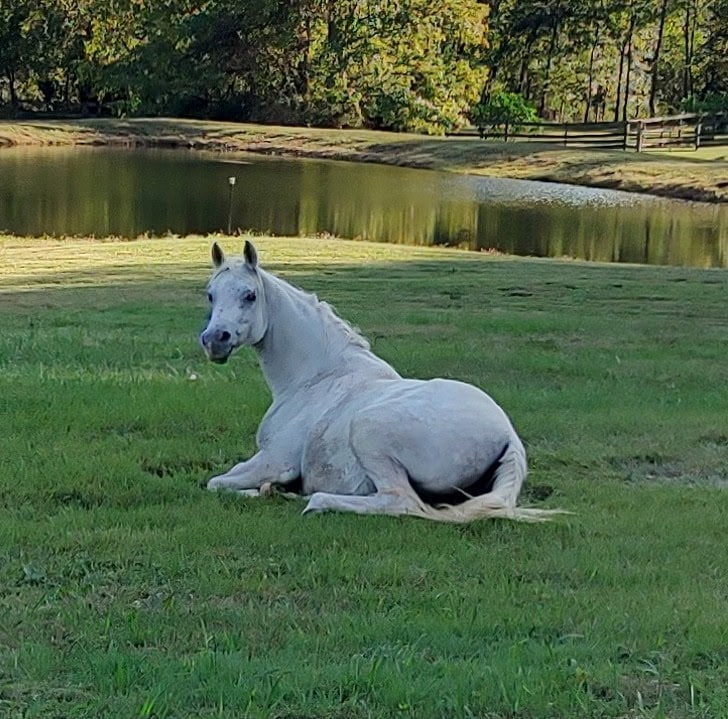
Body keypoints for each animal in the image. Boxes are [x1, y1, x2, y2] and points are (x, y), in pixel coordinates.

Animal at [200, 241, 560, 522]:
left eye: (250, 295)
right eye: (210, 295)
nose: (214, 340)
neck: (316, 377)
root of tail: (508, 435)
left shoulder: (274, 461)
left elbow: (217, 483)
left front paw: (265, 490)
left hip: (368, 431)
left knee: (399, 501)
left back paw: (314, 500)